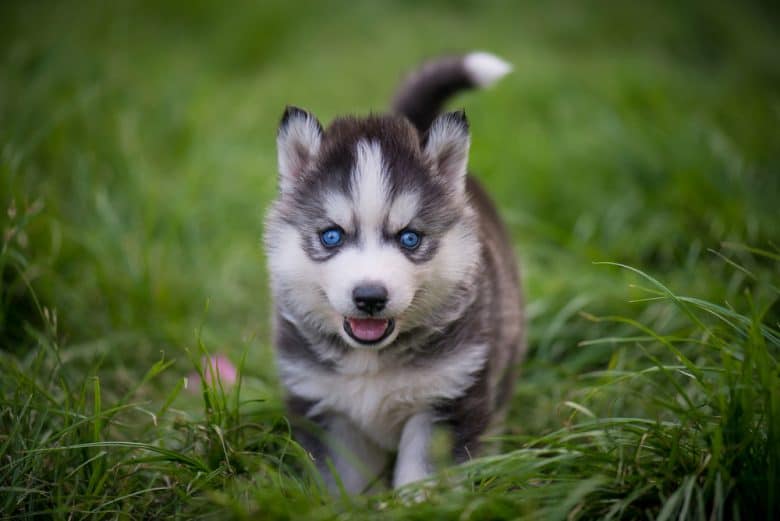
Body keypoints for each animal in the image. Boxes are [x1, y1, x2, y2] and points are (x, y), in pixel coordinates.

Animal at [262, 51, 524, 492]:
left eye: (410, 238)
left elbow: (422, 477)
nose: (370, 297)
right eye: (331, 236)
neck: (371, 362)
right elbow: (339, 484)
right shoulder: (324, 406)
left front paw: (418, 503)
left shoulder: (446, 399)